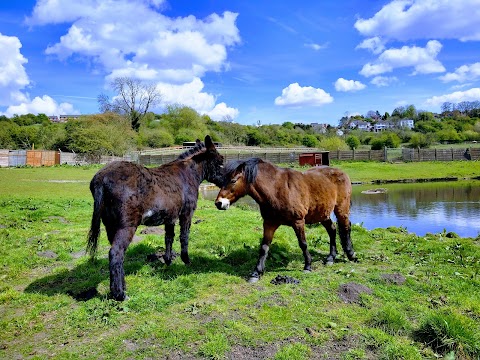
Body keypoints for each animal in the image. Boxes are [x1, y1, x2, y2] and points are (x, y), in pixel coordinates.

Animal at [87, 134, 223, 298]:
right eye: (221, 163)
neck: (189, 173)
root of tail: (101, 179)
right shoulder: (187, 213)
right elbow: (184, 237)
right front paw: (186, 261)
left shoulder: (170, 217)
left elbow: (169, 238)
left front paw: (168, 261)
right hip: (127, 226)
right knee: (116, 253)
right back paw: (120, 295)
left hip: (110, 225)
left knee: (119, 254)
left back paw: (122, 287)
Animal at [214, 159, 356, 282]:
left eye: (233, 180)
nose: (219, 203)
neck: (277, 189)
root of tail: (341, 172)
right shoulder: (269, 223)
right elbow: (264, 247)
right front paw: (256, 273)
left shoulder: (298, 221)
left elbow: (303, 244)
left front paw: (307, 266)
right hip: (322, 214)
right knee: (332, 230)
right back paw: (331, 258)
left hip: (341, 209)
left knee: (346, 227)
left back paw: (351, 255)